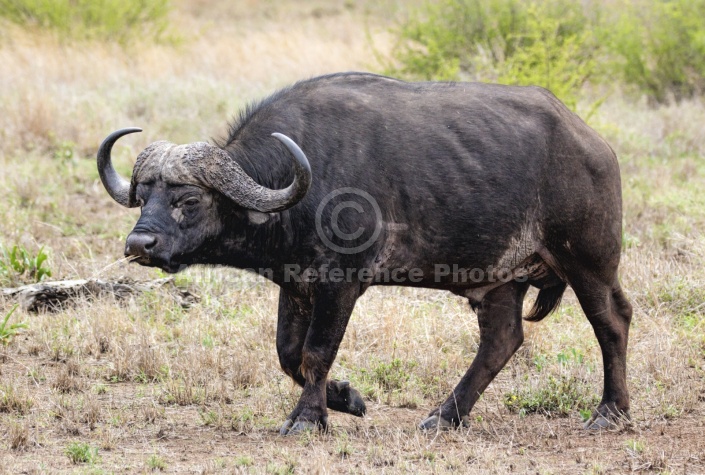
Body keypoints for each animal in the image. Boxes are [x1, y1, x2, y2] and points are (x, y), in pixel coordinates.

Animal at [96, 71, 628, 436]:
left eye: (189, 200)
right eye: (143, 196)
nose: (139, 245)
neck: (299, 186)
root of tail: (594, 145)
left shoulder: (342, 284)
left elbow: (315, 352)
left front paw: (308, 419)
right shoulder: (297, 285)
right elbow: (288, 354)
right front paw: (345, 398)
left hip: (589, 262)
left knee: (612, 322)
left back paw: (610, 411)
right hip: (500, 281)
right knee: (502, 340)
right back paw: (444, 417)